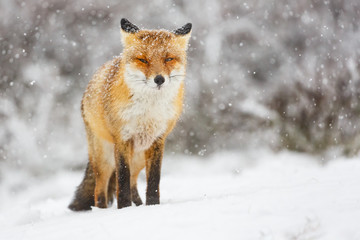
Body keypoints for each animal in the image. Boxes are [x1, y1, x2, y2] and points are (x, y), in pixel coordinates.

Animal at [68, 18, 191, 210]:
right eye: (143, 60)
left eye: (168, 59)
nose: (159, 79)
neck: (148, 112)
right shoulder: (122, 139)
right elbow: (122, 181)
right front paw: (124, 209)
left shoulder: (158, 140)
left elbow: (153, 181)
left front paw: (152, 206)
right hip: (105, 159)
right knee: (100, 189)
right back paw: (102, 210)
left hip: (138, 158)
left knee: (133, 183)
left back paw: (139, 205)